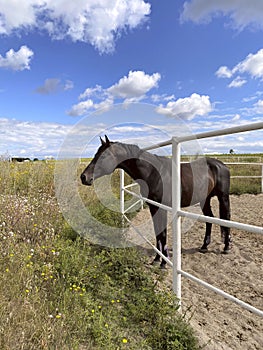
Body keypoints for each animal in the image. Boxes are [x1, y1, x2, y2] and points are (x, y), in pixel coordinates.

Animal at [80, 136, 231, 268]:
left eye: (103, 156)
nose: (84, 177)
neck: (154, 173)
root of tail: (221, 165)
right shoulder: (153, 207)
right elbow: (157, 232)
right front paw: (157, 259)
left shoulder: (162, 208)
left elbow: (163, 233)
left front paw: (164, 263)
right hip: (204, 199)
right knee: (209, 218)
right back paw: (204, 246)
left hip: (223, 197)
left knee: (226, 218)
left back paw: (226, 247)